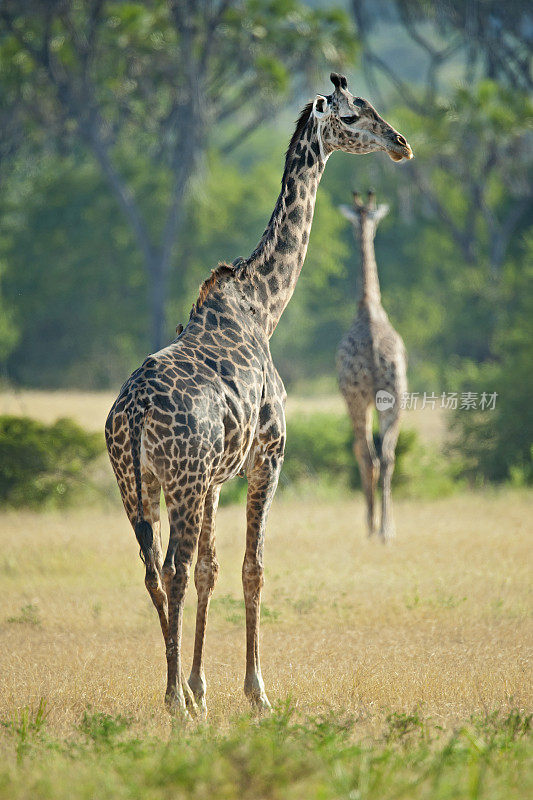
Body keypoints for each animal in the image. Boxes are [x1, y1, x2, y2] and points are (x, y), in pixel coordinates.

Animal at [104, 72, 412, 716]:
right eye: (354, 115)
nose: (401, 144)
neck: (263, 307)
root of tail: (134, 415)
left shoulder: (219, 478)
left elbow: (213, 570)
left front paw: (202, 687)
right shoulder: (268, 457)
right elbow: (252, 568)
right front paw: (255, 693)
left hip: (138, 484)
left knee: (153, 570)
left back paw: (176, 694)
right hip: (182, 479)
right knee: (172, 567)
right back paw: (174, 704)